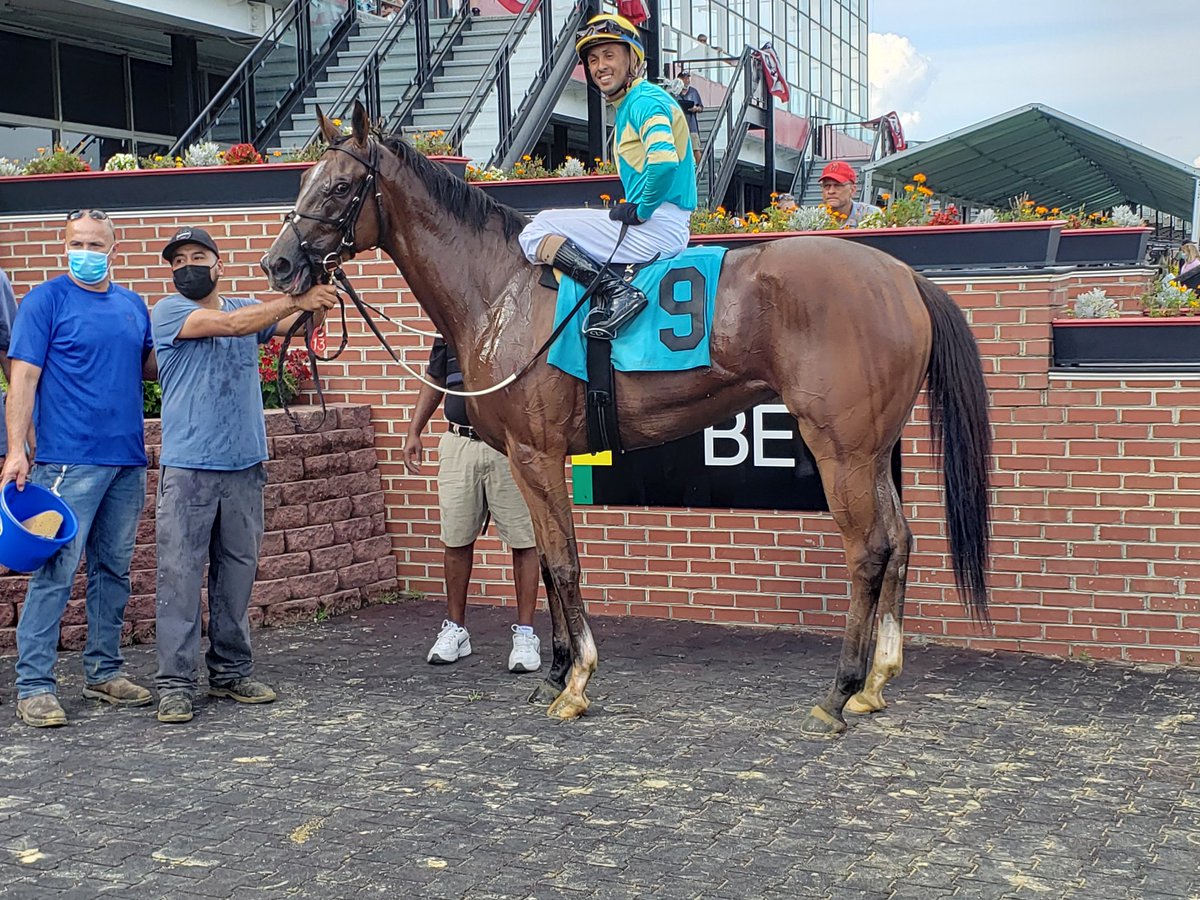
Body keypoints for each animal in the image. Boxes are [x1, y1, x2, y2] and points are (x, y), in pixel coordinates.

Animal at [265, 105, 993, 739]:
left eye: (338, 185)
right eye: (302, 180)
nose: (279, 263)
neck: (502, 290)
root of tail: (903, 276)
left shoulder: (536, 453)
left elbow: (562, 563)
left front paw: (577, 681)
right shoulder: (527, 459)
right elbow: (547, 561)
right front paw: (554, 673)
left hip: (841, 449)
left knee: (868, 549)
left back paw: (839, 691)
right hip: (872, 448)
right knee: (900, 538)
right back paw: (876, 682)